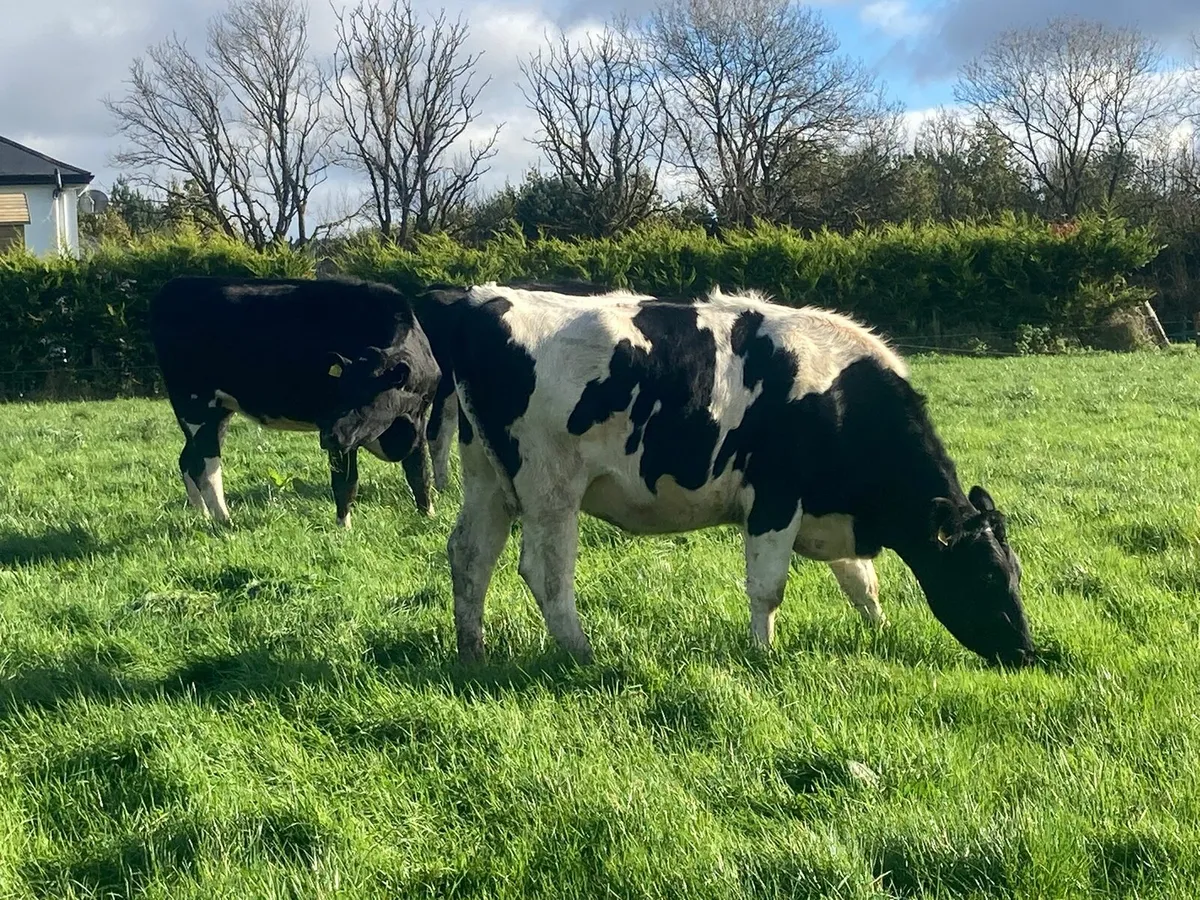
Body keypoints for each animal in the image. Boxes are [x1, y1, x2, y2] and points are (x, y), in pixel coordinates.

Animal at [150, 275, 441, 529]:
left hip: (219, 411)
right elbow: (346, 484)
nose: (329, 435)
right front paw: (343, 528)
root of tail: (178, 283)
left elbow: (420, 475)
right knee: (206, 465)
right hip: (195, 405)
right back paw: (224, 520)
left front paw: (427, 517)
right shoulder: (342, 439)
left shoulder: (417, 421)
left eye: (369, 395)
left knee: (188, 460)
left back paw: (201, 514)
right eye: (338, 391)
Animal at [412, 282, 1035, 669]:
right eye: (985, 576)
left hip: (487, 479)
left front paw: (878, 631)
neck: (839, 398)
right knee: (545, 572)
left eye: (1015, 574)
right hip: (550, 485)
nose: (1026, 651)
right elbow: (768, 587)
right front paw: (764, 655)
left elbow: (861, 582)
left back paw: (473, 652)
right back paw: (582, 653)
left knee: (469, 554)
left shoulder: (826, 508)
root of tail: (475, 298)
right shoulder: (775, 498)